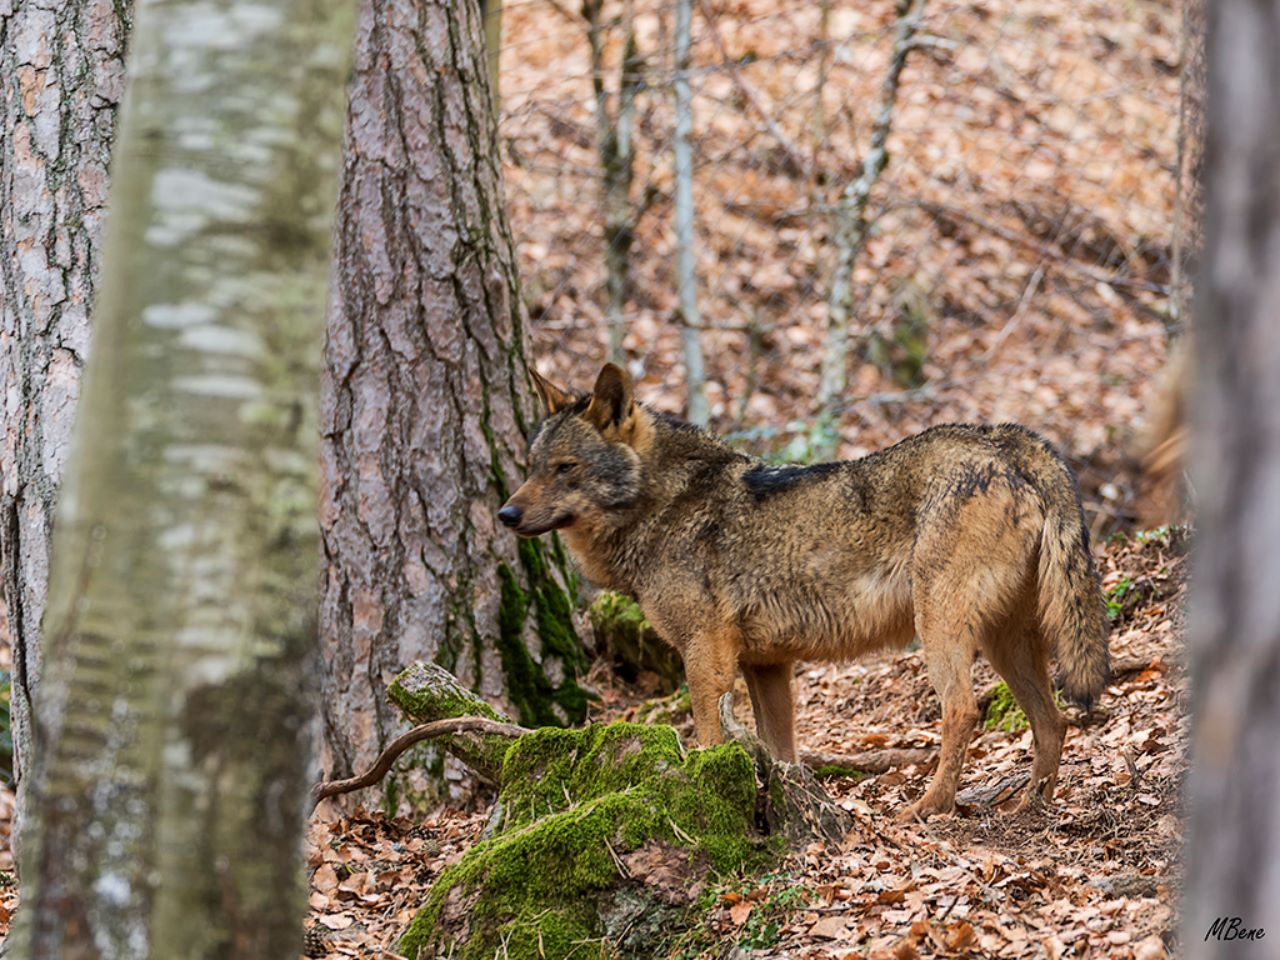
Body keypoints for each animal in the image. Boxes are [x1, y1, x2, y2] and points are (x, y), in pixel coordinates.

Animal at [499, 363, 1109, 821]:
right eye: (530, 468)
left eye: (566, 468)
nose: (506, 514)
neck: (664, 507)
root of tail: (1005, 439)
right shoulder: (766, 667)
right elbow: (782, 755)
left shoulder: (705, 656)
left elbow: (708, 738)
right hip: (1006, 641)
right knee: (1052, 719)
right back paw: (1031, 806)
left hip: (941, 627)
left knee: (962, 712)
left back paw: (927, 808)